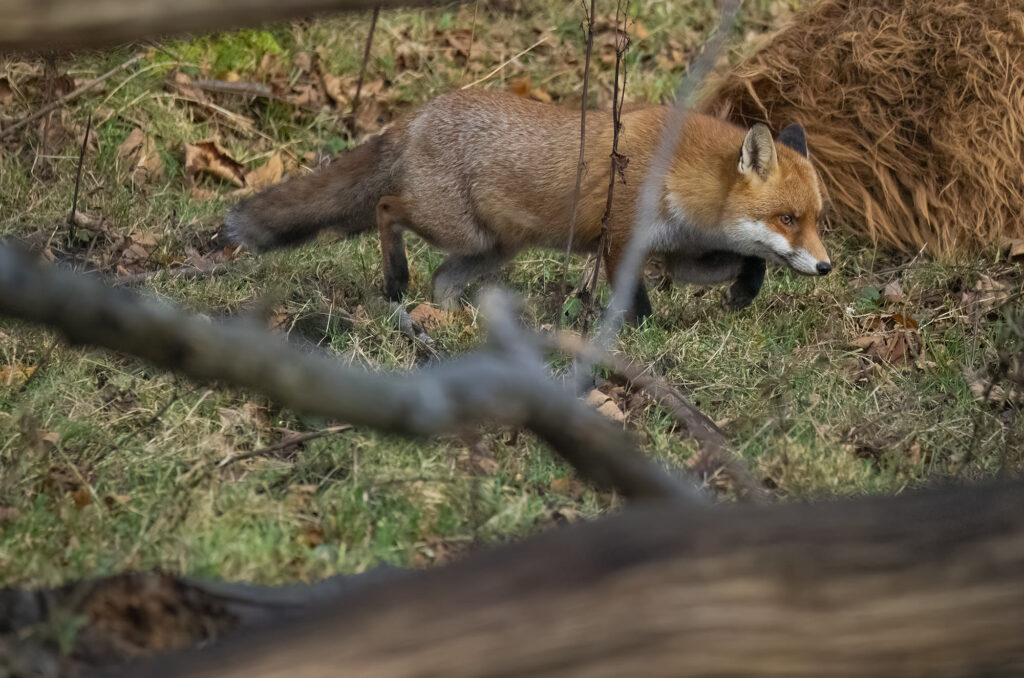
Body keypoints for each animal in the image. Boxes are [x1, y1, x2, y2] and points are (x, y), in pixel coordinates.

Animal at [226, 89, 831, 319]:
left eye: (815, 220)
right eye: (787, 219)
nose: (827, 267)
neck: (679, 173)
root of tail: (416, 115)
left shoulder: (677, 253)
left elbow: (748, 259)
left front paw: (743, 292)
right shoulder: (618, 240)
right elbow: (634, 304)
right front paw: (637, 337)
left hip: (492, 249)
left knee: (442, 280)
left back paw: (454, 322)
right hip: (459, 231)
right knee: (386, 209)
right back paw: (396, 279)